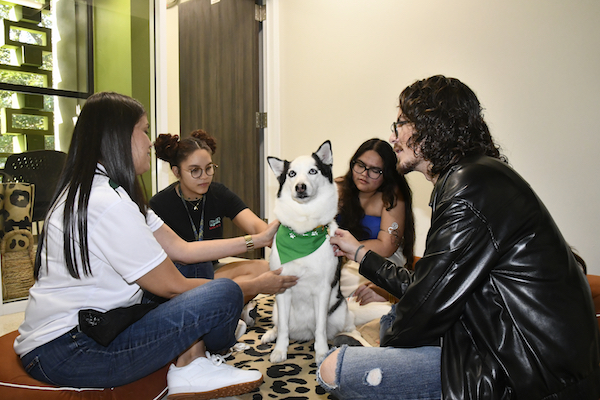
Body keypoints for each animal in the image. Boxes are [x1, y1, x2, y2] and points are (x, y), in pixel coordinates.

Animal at [262, 140, 354, 362]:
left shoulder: (322, 290)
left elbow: (320, 328)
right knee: (280, 324)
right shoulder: (282, 288)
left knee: (340, 324)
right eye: (291, 173)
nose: (300, 187)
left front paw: (321, 353)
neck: (303, 232)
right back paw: (270, 334)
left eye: (313, 171)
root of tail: (303, 332)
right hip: (275, 308)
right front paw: (280, 350)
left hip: (340, 308)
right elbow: (284, 328)